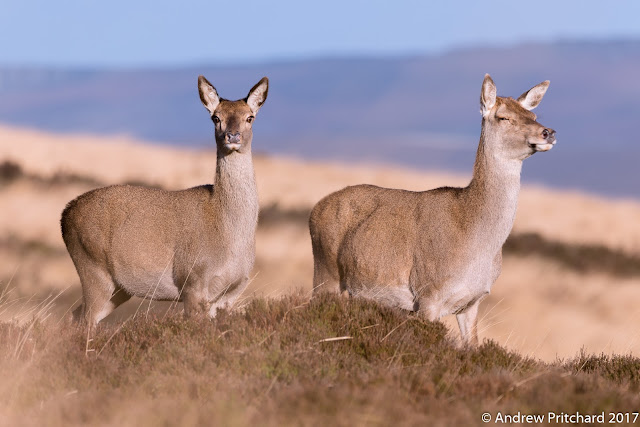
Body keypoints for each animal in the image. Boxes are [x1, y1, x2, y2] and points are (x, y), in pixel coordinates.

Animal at [61, 76, 268, 328]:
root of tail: (65, 214)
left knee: (74, 316)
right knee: (85, 321)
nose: (233, 136)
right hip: (93, 269)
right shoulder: (192, 280)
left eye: (250, 117)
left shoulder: (233, 292)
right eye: (215, 117)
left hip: (118, 289)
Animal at [310, 75, 556, 346]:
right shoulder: (427, 293)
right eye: (503, 117)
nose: (548, 132)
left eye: (532, 115)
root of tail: (314, 209)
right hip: (325, 272)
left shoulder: (473, 302)